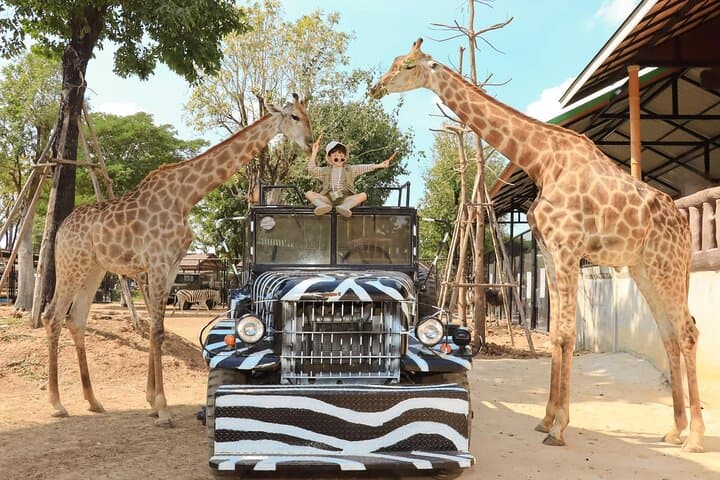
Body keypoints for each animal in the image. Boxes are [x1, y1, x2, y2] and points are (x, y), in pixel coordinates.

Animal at [43, 94, 312, 427]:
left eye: (308, 115)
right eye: (294, 117)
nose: (310, 143)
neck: (186, 196)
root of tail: (61, 229)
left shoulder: (170, 265)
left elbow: (157, 327)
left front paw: (151, 401)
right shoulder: (158, 262)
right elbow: (157, 329)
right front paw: (163, 409)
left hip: (94, 269)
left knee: (76, 319)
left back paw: (93, 401)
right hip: (72, 265)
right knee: (53, 316)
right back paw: (57, 404)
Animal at [371, 39, 704, 452]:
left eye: (408, 65)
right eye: (396, 61)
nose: (376, 88)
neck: (541, 160)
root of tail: (686, 228)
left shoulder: (566, 246)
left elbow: (564, 334)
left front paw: (559, 429)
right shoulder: (549, 249)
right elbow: (558, 336)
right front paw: (546, 420)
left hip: (665, 264)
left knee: (688, 331)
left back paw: (696, 438)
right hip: (646, 268)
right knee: (670, 333)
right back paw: (675, 430)